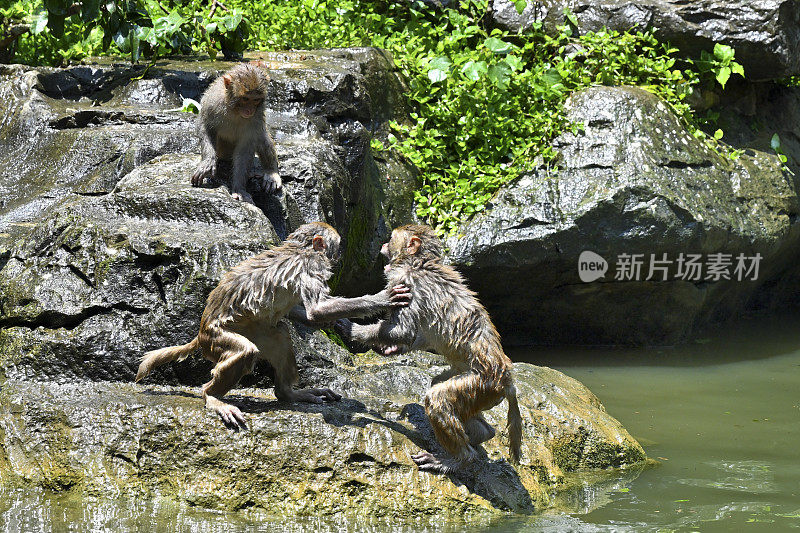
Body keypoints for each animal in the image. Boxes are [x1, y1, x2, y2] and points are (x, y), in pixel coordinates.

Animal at [135, 220, 410, 428]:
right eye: (338, 245)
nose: (341, 253)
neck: (301, 249)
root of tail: (201, 331)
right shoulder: (311, 265)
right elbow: (316, 310)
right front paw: (381, 298)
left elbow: (302, 313)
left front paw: (341, 324)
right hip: (216, 338)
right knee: (244, 351)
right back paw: (212, 397)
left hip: (255, 330)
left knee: (279, 335)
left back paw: (288, 394)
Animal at [191, 62, 282, 203]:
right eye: (245, 98)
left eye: (255, 100)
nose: (249, 110)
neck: (234, 110)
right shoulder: (212, 103)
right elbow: (204, 126)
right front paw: (208, 162)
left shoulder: (256, 117)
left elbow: (245, 149)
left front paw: (239, 189)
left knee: (262, 136)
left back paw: (271, 172)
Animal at [334, 222, 520, 472]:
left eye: (391, 239)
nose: (383, 244)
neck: (419, 263)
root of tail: (506, 378)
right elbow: (418, 336)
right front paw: (392, 349)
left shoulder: (406, 281)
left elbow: (403, 330)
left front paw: (353, 330)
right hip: (481, 390)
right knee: (442, 386)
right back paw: (483, 434)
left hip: (482, 383)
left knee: (438, 399)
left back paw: (456, 459)